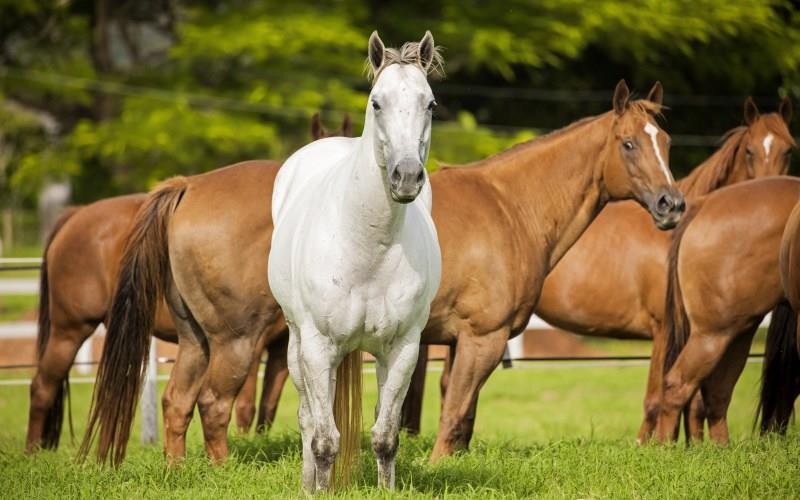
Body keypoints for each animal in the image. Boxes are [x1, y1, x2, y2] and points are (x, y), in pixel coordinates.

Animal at [25, 114, 350, 454]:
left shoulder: (280, 349)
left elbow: (269, 408)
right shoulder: (260, 343)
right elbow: (247, 407)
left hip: (192, 339)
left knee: (178, 400)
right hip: (72, 330)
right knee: (43, 387)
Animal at [268, 31, 444, 492]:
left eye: (430, 103)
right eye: (376, 102)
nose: (406, 176)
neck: (368, 247)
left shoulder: (403, 348)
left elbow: (385, 436)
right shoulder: (317, 347)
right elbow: (324, 438)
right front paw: (319, 490)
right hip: (299, 346)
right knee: (309, 420)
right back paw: (308, 484)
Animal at [422, 79, 684, 460]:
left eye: (665, 142)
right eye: (628, 144)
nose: (672, 204)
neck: (508, 208)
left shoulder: (462, 339)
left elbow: (461, 415)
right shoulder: (483, 337)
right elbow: (455, 412)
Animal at [656, 166, 800, 444]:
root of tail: (705, 204)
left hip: (738, 331)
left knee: (716, 393)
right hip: (712, 333)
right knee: (677, 385)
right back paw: (664, 448)